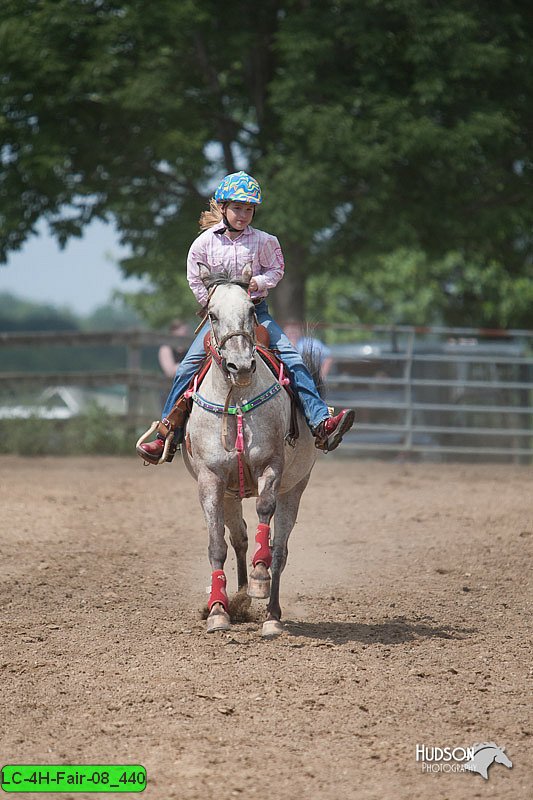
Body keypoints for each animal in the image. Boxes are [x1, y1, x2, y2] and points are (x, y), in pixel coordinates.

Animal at [181, 266, 318, 640]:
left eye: (252, 312)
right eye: (212, 315)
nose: (240, 367)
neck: (237, 399)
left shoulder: (271, 467)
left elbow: (264, 514)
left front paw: (258, 578)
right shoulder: (211, 480)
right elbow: (217, 545)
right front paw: (217, 611)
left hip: (295, 489)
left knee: (279, 550)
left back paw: (270, 614)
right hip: (230, 493)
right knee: (239, 538)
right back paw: (237, 598)